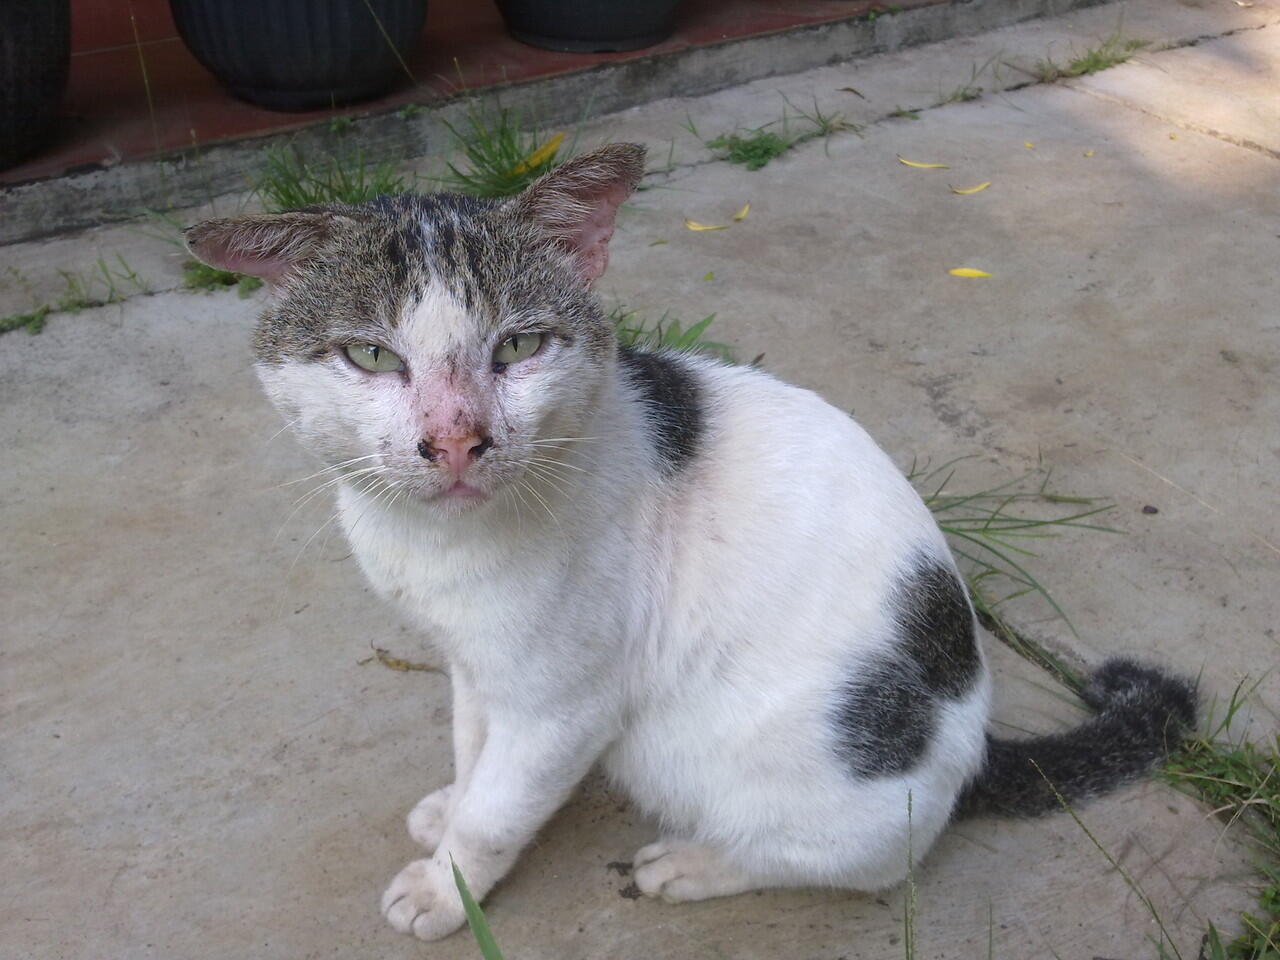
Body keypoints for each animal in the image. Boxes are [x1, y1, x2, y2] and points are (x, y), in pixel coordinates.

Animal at [185, 142, 1192, 942]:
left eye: (518, 348)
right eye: (371, 357)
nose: (457, 439)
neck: (429, 542)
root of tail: (974, 731)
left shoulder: (565, 705)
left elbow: (501, 810)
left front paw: (449, 886)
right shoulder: (471, 660)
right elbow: (473, 749)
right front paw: (451, 801)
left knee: (865, 860)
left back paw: (696, 863)